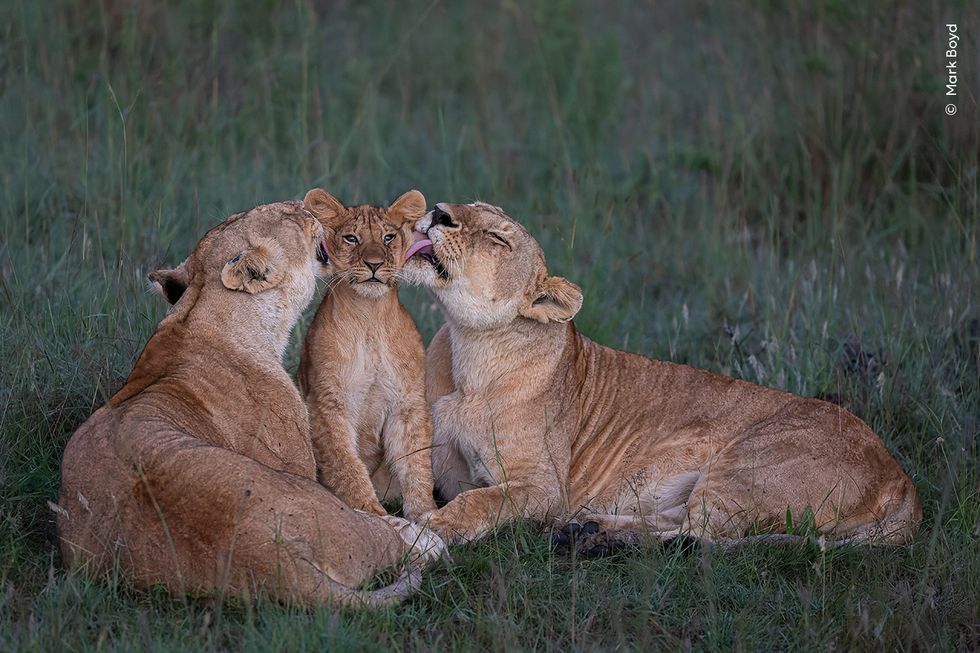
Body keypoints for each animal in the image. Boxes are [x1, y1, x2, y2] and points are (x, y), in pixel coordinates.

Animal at [297, 188, 437, 519]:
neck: (369, 318)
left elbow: (416, 464)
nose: (374, 264)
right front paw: (369, 510)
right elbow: (345, 463)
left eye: (388, 237)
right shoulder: (327, 403)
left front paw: (425, 514)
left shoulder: (407, 403)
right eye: (351, 238)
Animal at [403, 201, 922, 548]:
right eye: (468, 204)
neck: (469, 350)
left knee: (699, 539)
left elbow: (479, 501)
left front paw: (434, 528)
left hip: (745, 466)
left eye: (498, 239)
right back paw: (590, 529)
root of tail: (902, 480)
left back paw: (591, 538)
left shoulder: (546, 487)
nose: (440, 211)